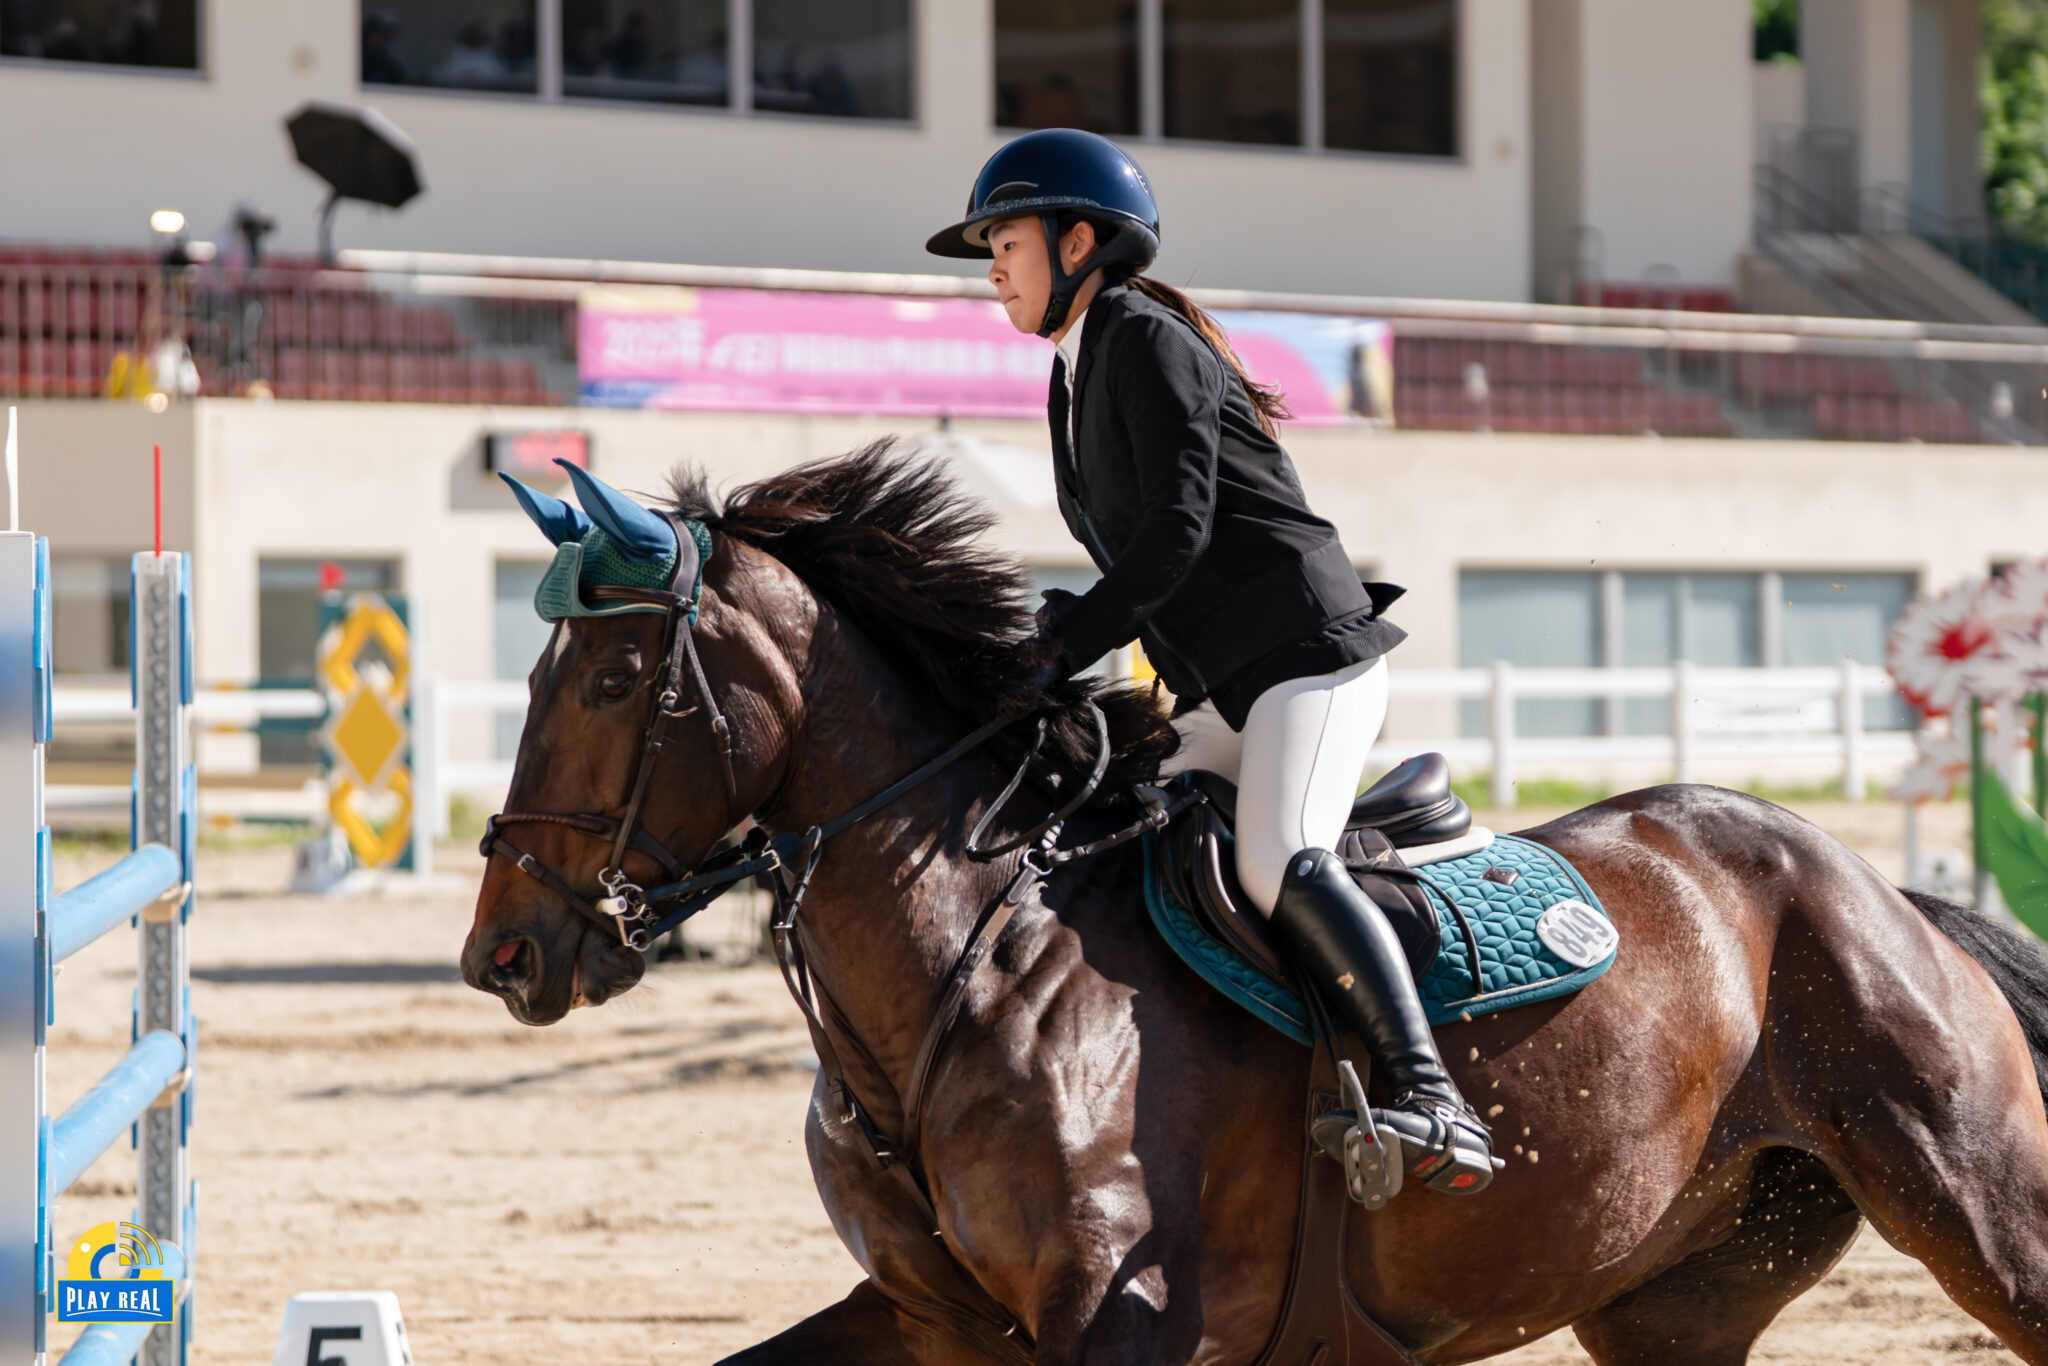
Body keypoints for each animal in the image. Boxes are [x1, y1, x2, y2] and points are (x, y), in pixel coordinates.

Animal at [462, 444, 2048, 1365]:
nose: (505, 954)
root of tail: (1869, 885)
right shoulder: (924, 1318)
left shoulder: (1135, 1323)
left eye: (613, 678)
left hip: (1980, 1208)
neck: (964, 970)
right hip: (1678, 1300)